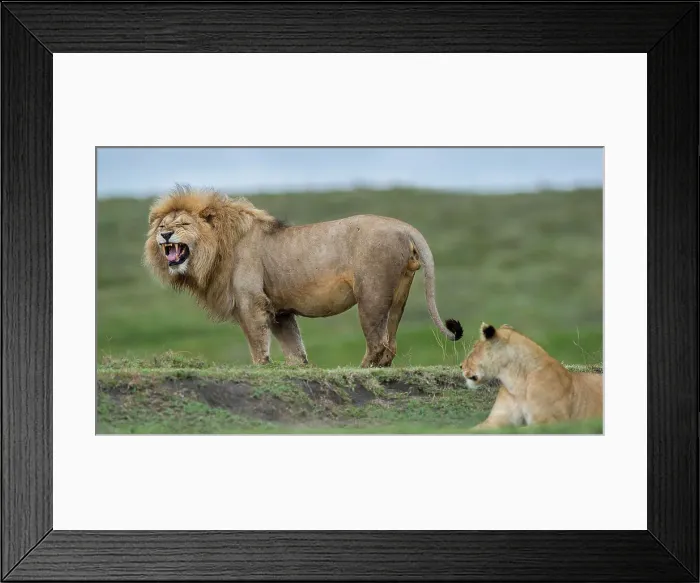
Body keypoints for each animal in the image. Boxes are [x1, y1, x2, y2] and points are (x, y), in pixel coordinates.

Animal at [143, 185, 462, 367]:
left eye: (183, 224)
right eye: (162, 224)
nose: (165, 234)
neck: (217, 249)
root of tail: (403, 226)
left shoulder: (251, 303)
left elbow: (257, 345)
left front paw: (261, 368)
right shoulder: (280, 311)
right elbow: (294, 349)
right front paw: (297, 368)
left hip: (371, 296)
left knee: (378, 344)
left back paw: (360, 370)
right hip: (398, 295)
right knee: (390, 344)